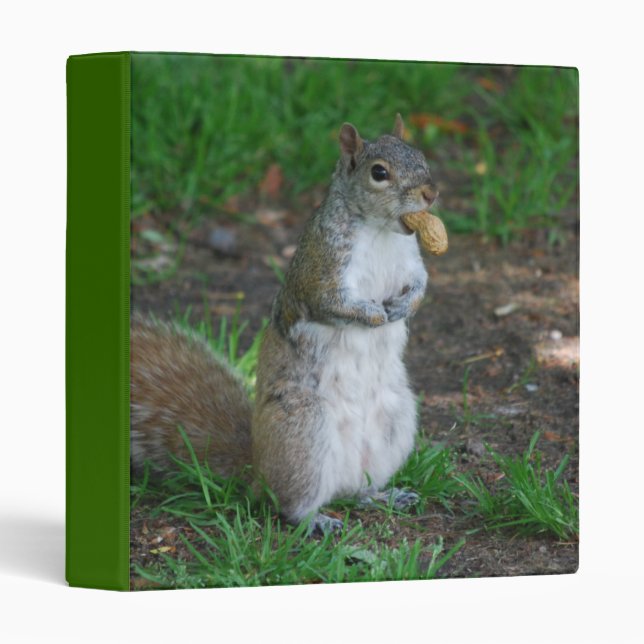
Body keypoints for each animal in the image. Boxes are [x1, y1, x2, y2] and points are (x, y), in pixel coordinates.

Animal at [131, 114, 439, 533]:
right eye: (379, 172)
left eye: (420, 155)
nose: (430, 194)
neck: (380, 232)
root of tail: (257, 469)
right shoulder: (320, 269)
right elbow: (332, 303)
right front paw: (374, 314)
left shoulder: (410, 261)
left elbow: (421, 284)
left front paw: (403, 306)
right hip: (303, 434)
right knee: (290, 503)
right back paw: (315, 521)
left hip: (395, 422)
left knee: (357, 490)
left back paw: (384, 495)